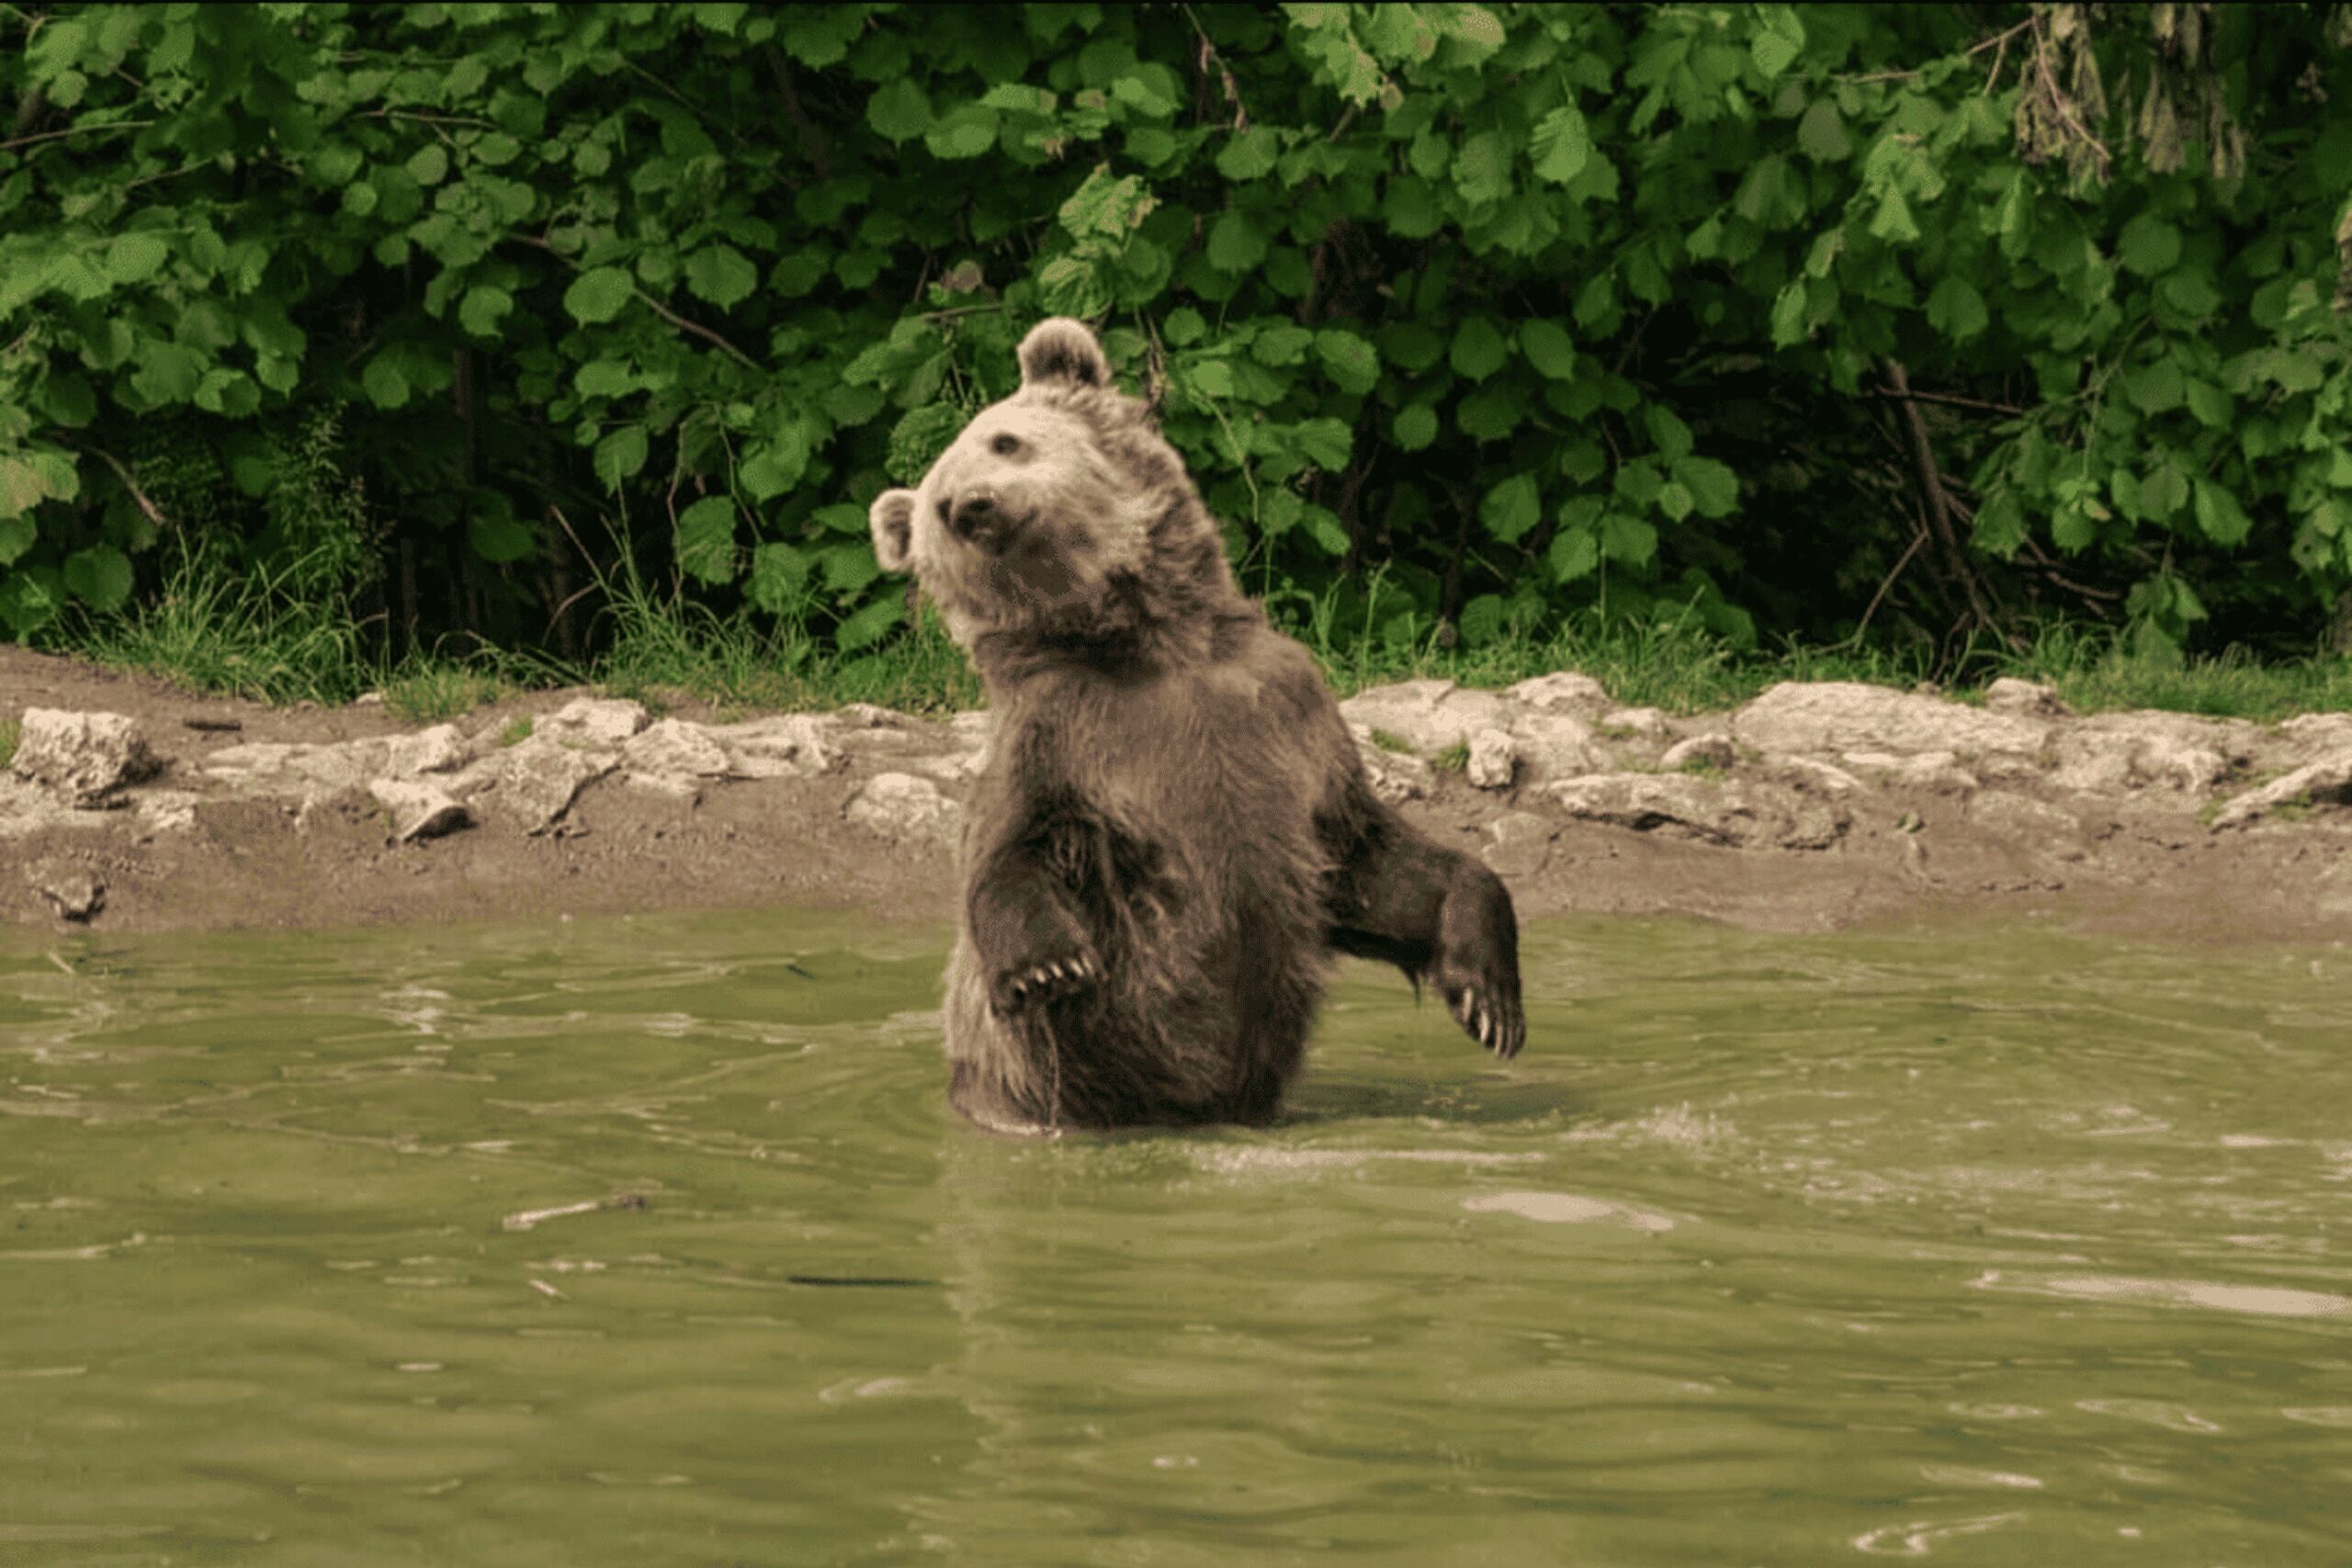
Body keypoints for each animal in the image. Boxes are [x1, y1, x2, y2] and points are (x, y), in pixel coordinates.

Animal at [866, 317, 1523, 1133]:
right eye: (937, 505)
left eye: (1005, 440)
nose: (972, 507)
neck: (1152, 642)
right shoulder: (1062, 730)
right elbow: (1013, 845)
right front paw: (1049, 964)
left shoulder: (1284, 709)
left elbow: (1369, 859)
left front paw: (1489, 997)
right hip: (1032, 1092)